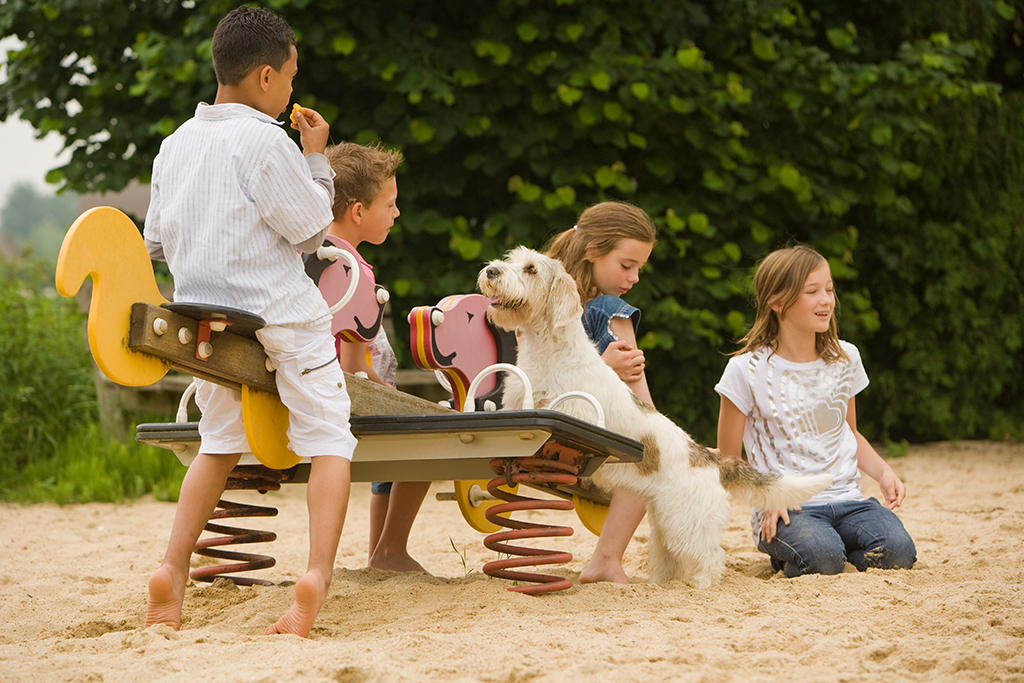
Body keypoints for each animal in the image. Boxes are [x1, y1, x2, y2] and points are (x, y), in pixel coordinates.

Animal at [479, 245, 831, 589]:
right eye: (511, 260)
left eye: (531, 269)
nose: (491, 270)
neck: (549, 353)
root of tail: (710, 459)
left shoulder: (576, 412)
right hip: (664, 524)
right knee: (674, 561)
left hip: (686, 522)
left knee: (711, 558)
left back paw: (703, 587)